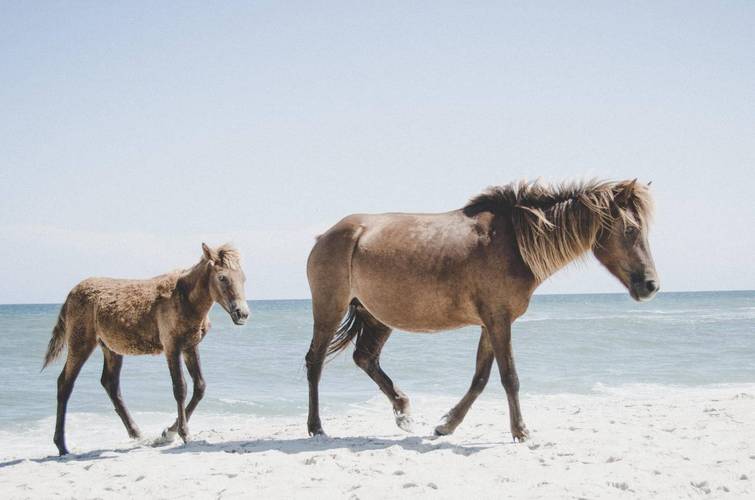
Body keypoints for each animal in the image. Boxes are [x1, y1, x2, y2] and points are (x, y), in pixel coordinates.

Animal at [42, 243, 249, 455]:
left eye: (243, 278)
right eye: (222, 277)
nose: (242, 313)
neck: (185, 298)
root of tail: (69, 296)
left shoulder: (190, 346)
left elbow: (200, 387)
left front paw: (168, 432)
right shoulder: (171, 347)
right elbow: (180, 388)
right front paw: (181, 433)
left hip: (111, 347)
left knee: (110, 383)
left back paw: (136, 433)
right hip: (81, 342)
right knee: (65, 383)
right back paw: (62, 446)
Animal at [305, 179, 658, 440]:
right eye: (630, 230)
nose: (651, 285)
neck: (513, 243)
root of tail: (327, 235)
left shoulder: (491, 323)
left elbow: (480, 378)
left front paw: (446, 425)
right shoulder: (499, 321)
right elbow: (509, 377)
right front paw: (521, 431)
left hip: (376, 316)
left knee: (365, 358)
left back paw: (403, 412)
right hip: (330, 309)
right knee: (315, 362)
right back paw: (317, 427)